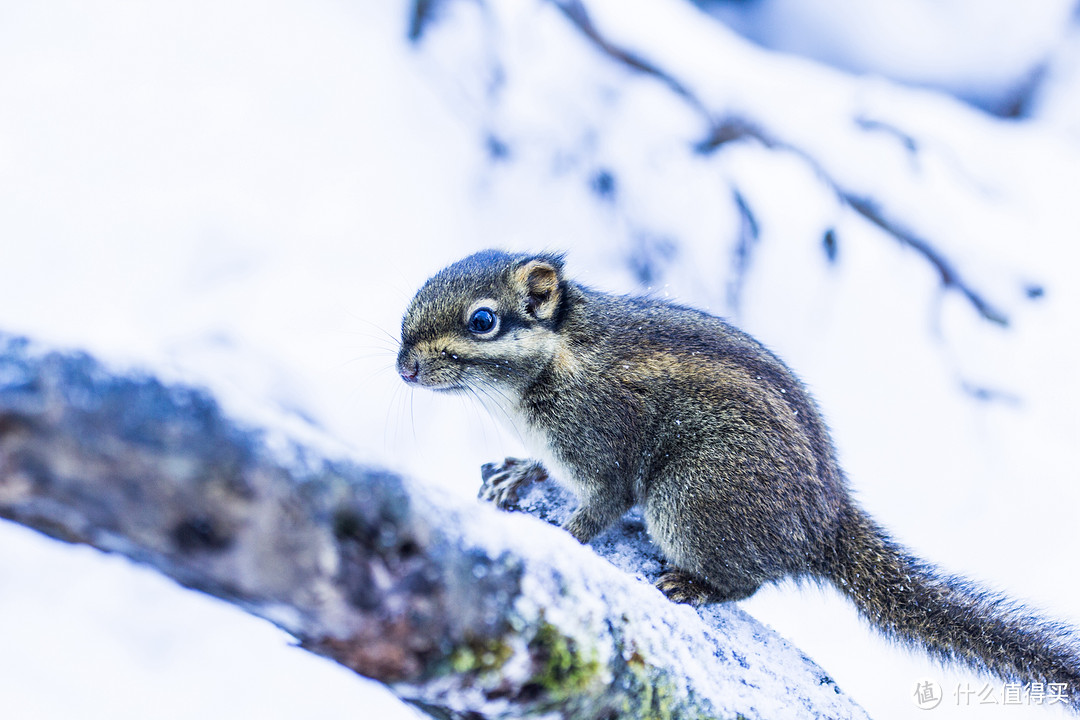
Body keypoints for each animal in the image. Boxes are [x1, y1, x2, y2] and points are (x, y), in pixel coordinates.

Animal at [397, 249, 1080, 708]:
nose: (403, 366)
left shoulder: (605, 441)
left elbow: (601, 506)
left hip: (690, 498)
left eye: (483, 321)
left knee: (745, 582)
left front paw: (563, 535)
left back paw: (695, 586)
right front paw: (520, 471)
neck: (554, 362)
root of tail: (827, 521)